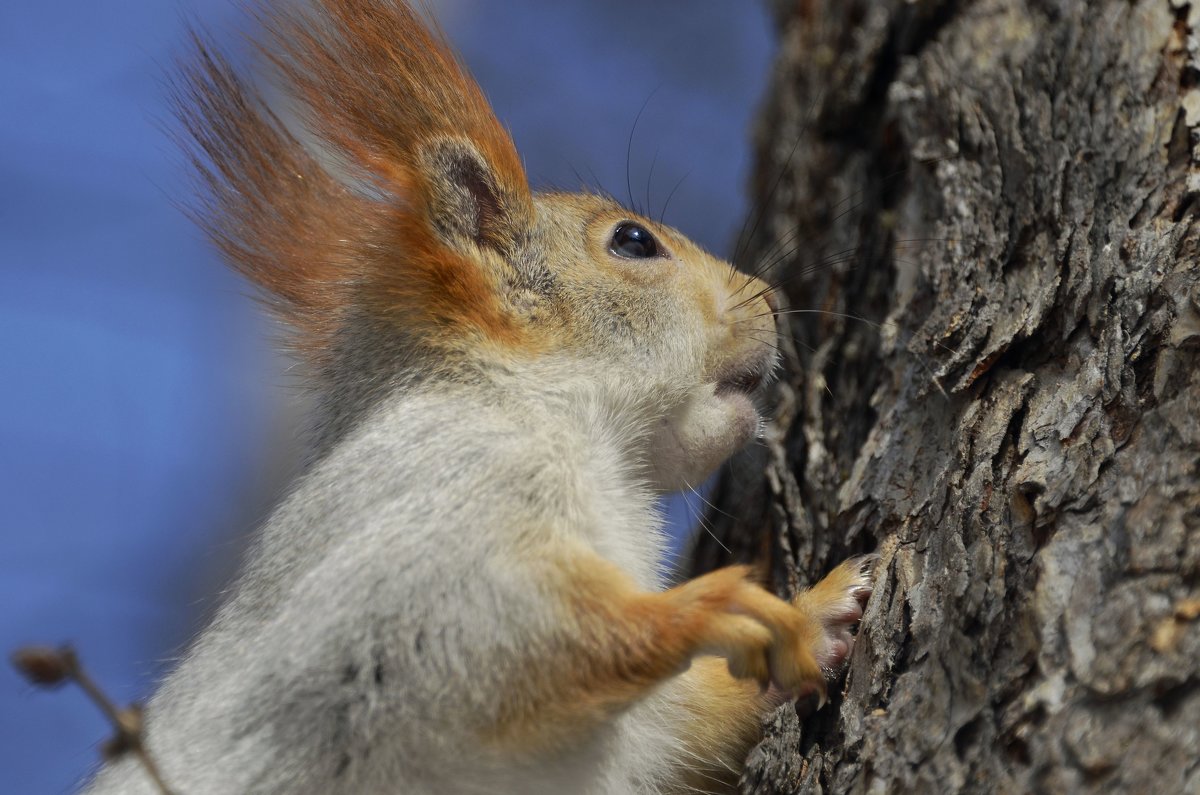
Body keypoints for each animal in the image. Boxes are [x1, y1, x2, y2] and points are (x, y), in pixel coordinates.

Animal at [82, 1, 873, 795]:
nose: (771, 300)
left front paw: (817, 619)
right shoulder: (440, 506)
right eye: (633, 241)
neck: (541, 402)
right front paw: (713, 609)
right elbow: (481, 637)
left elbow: (677, 733)